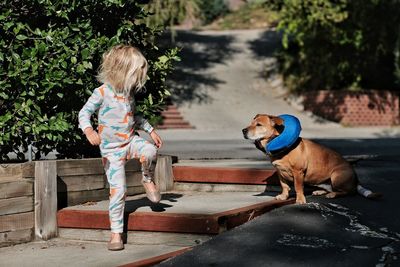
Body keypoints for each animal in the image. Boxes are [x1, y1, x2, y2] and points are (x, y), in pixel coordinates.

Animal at [242, 114, 380, 204]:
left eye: (258, 125)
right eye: (250, 123)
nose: (243, 130)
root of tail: (356, 179)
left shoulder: (298, 172)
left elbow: (298, 187)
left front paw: (300, 200)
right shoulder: (280, 172)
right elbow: (284, 186)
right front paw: (283, 196)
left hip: (336, 176)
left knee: (347, 192)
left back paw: (332, 194)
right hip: (324, 181)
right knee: (332, 188)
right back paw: (320, 192)